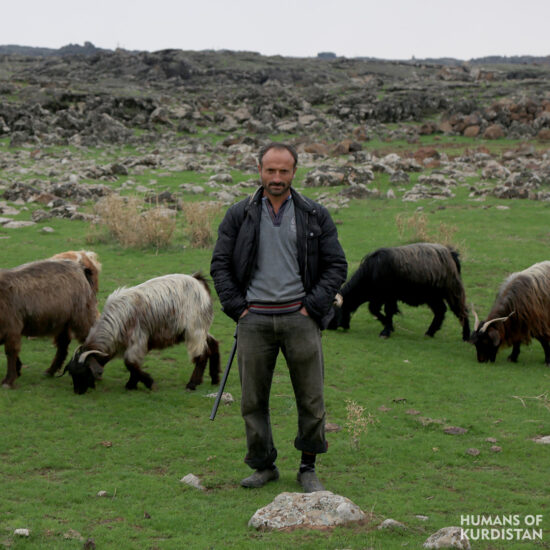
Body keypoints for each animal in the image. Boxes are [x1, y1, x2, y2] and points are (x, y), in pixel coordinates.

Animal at [0, 260, 98, 390]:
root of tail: (80, 268)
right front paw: (18, 369)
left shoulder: (11, 328)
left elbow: (11, 352)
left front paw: (8, 380)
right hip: (63, 322)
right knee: (63, 344)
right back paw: (50, 371)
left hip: (82, 317)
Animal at [68, 274, 222, 394]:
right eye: (72, 373)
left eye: (83, 372)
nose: (77, 392)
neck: (117, 320)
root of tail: (199, 282)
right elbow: (133, 365)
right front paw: (132, 384)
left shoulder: (138, 340)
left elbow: (130, 363)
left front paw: (147, 383)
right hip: (200, 329)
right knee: (213, 344)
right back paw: (215, 378)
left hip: (194, 330)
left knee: (202, 355)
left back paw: (192, 384)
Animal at [330, 243, 472, 340]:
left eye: (334, 312)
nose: (330, 327)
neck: (372, 270)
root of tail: (450, 252)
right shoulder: (379, 297)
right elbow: (375, 310)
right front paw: (389, 326)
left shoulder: (388, 296)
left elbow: (387, 311)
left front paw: (386, 330)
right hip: (432, 296)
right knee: (440, 311)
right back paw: (430, 332)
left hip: (452, 290)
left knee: (462, 311)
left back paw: (466, 336)